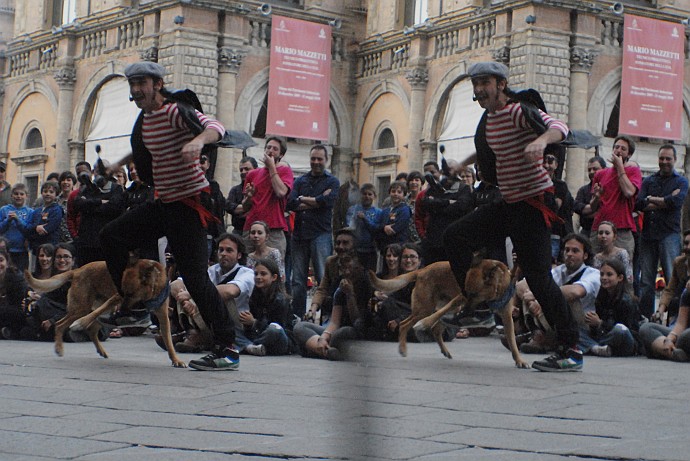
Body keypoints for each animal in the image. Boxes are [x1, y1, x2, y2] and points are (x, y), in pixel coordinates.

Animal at [25, 258, 184, 366]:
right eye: (125, 292)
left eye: (131, 293)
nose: (123, 309)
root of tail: (77, 270)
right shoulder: (115, 299)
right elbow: (91, 316)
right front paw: (80, 323)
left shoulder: (163, 317)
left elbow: (168, 341)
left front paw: (176, 359)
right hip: (83, 308)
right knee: (60, 324)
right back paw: (59, 347)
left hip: (98, 312)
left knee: (91, 329)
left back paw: (100, 349)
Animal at [368, 256, 524, 368]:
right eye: (469, 293)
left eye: (474, 294)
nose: (468, 309)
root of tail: (421, 270)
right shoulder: (459, 299)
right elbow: (435, 316)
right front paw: (423, 324)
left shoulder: (507, 317)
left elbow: (512, 340)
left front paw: (519, 360)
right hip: (425, 308)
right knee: (405, 324)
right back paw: (403, 348)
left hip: (441, 310)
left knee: (436, 329)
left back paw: (444, 350)